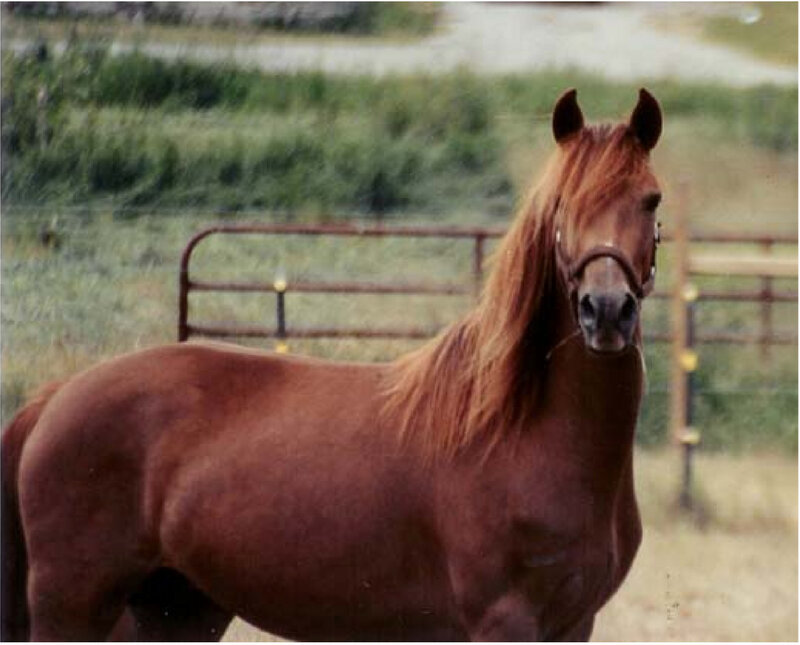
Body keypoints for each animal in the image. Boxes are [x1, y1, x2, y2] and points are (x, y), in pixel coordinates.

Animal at [2, 88, 663, 642]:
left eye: (651, 200)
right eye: (562, 205)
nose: (606, 311)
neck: (521, 428)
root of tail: (55, 398)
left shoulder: (572, 624)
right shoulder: (505, 621)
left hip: (175, 610)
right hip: (74, 605)